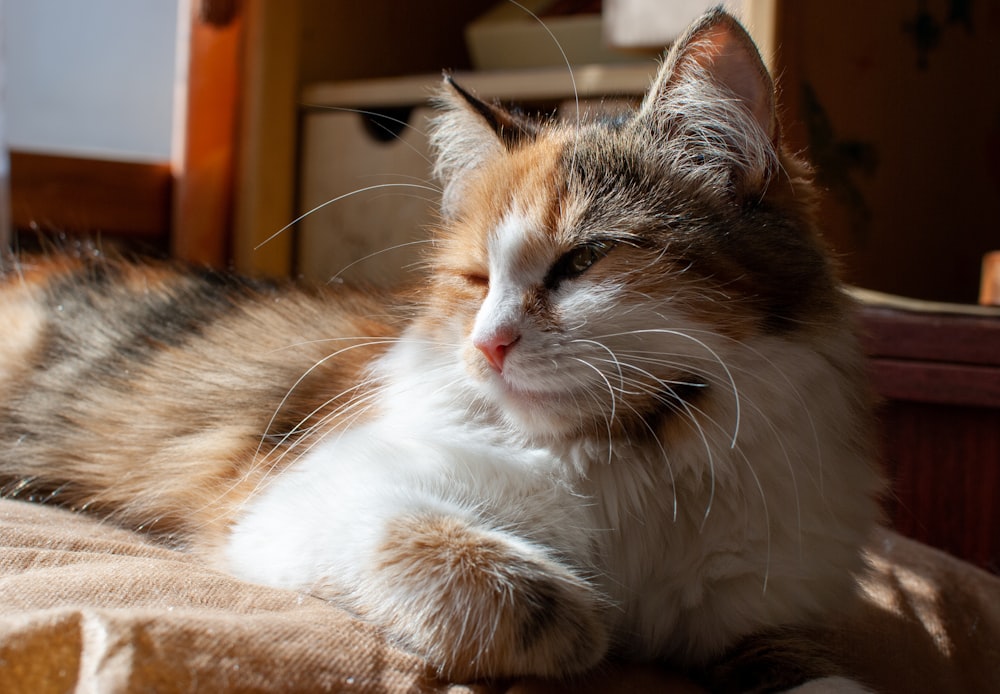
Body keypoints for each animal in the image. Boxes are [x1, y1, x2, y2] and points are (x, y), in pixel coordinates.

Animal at [3, 8, 888, 692]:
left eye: (583, 261)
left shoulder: (756, 613)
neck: (637, 454)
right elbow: (501, 583)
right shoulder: (301, 498)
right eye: (474, 278)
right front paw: (586, 625)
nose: (488, 344)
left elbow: (812, 670)